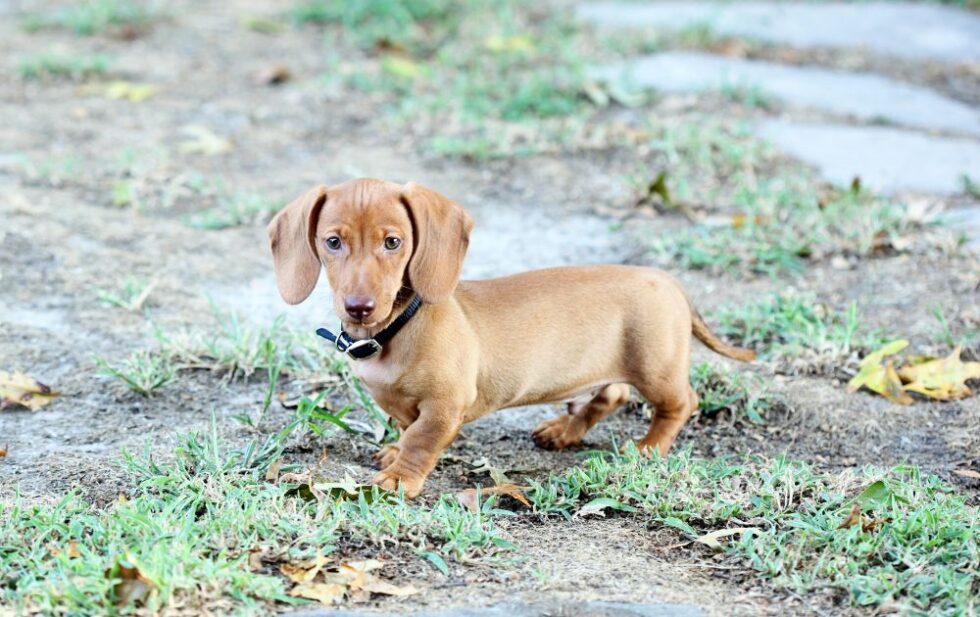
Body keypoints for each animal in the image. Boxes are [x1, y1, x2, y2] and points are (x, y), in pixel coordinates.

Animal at [264, 177, 756, 496]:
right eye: (332, 242)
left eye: (393, 242)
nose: (359, 307)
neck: (392, 332)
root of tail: (668, 280)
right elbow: (407, 428)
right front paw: (394, 453)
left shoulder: (446, 406)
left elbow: (422, 439)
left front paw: (400, 478)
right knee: (611, 394)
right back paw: (563, 430)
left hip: (656, 367)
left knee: (680, 403)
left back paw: (648, 448)